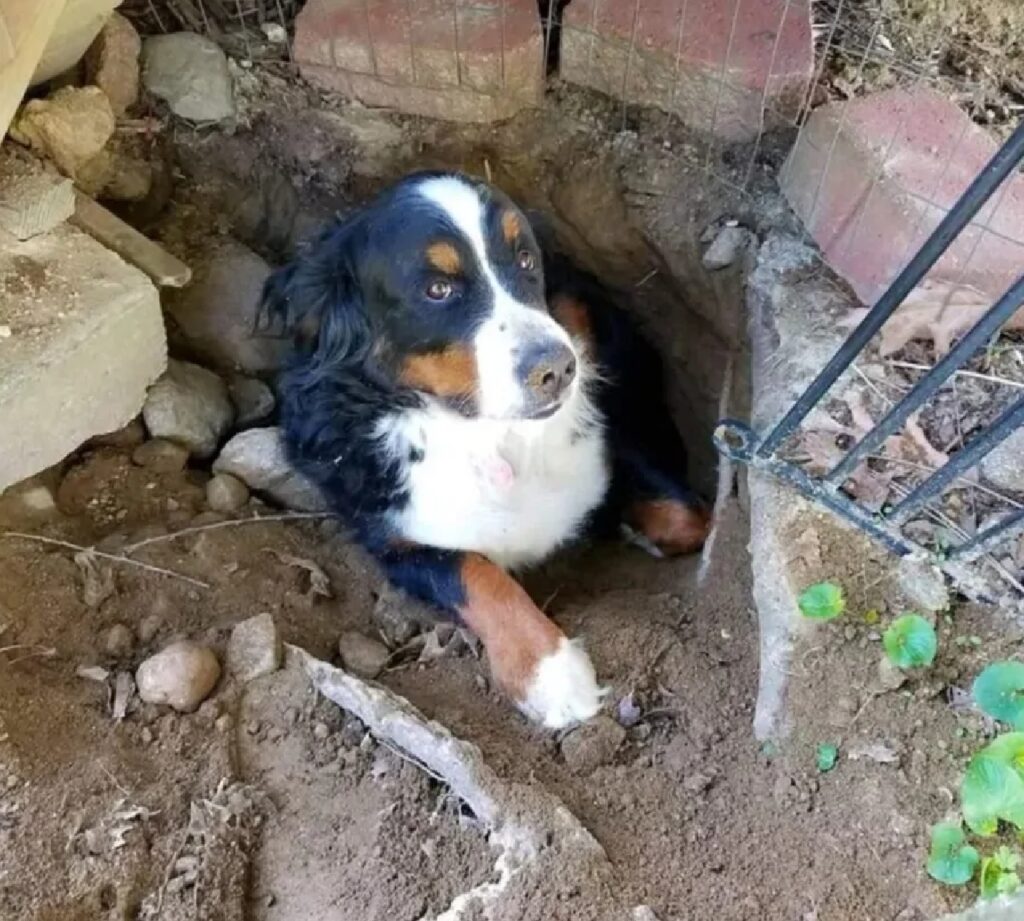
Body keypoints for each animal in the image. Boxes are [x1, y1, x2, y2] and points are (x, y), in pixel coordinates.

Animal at [262, 173, 712, 729]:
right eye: (438, 289)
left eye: (524, 259)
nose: (557, 368)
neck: (491, 436)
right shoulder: (396, 539)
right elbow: (474, 574)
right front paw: (549, 672)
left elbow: (687, 516)